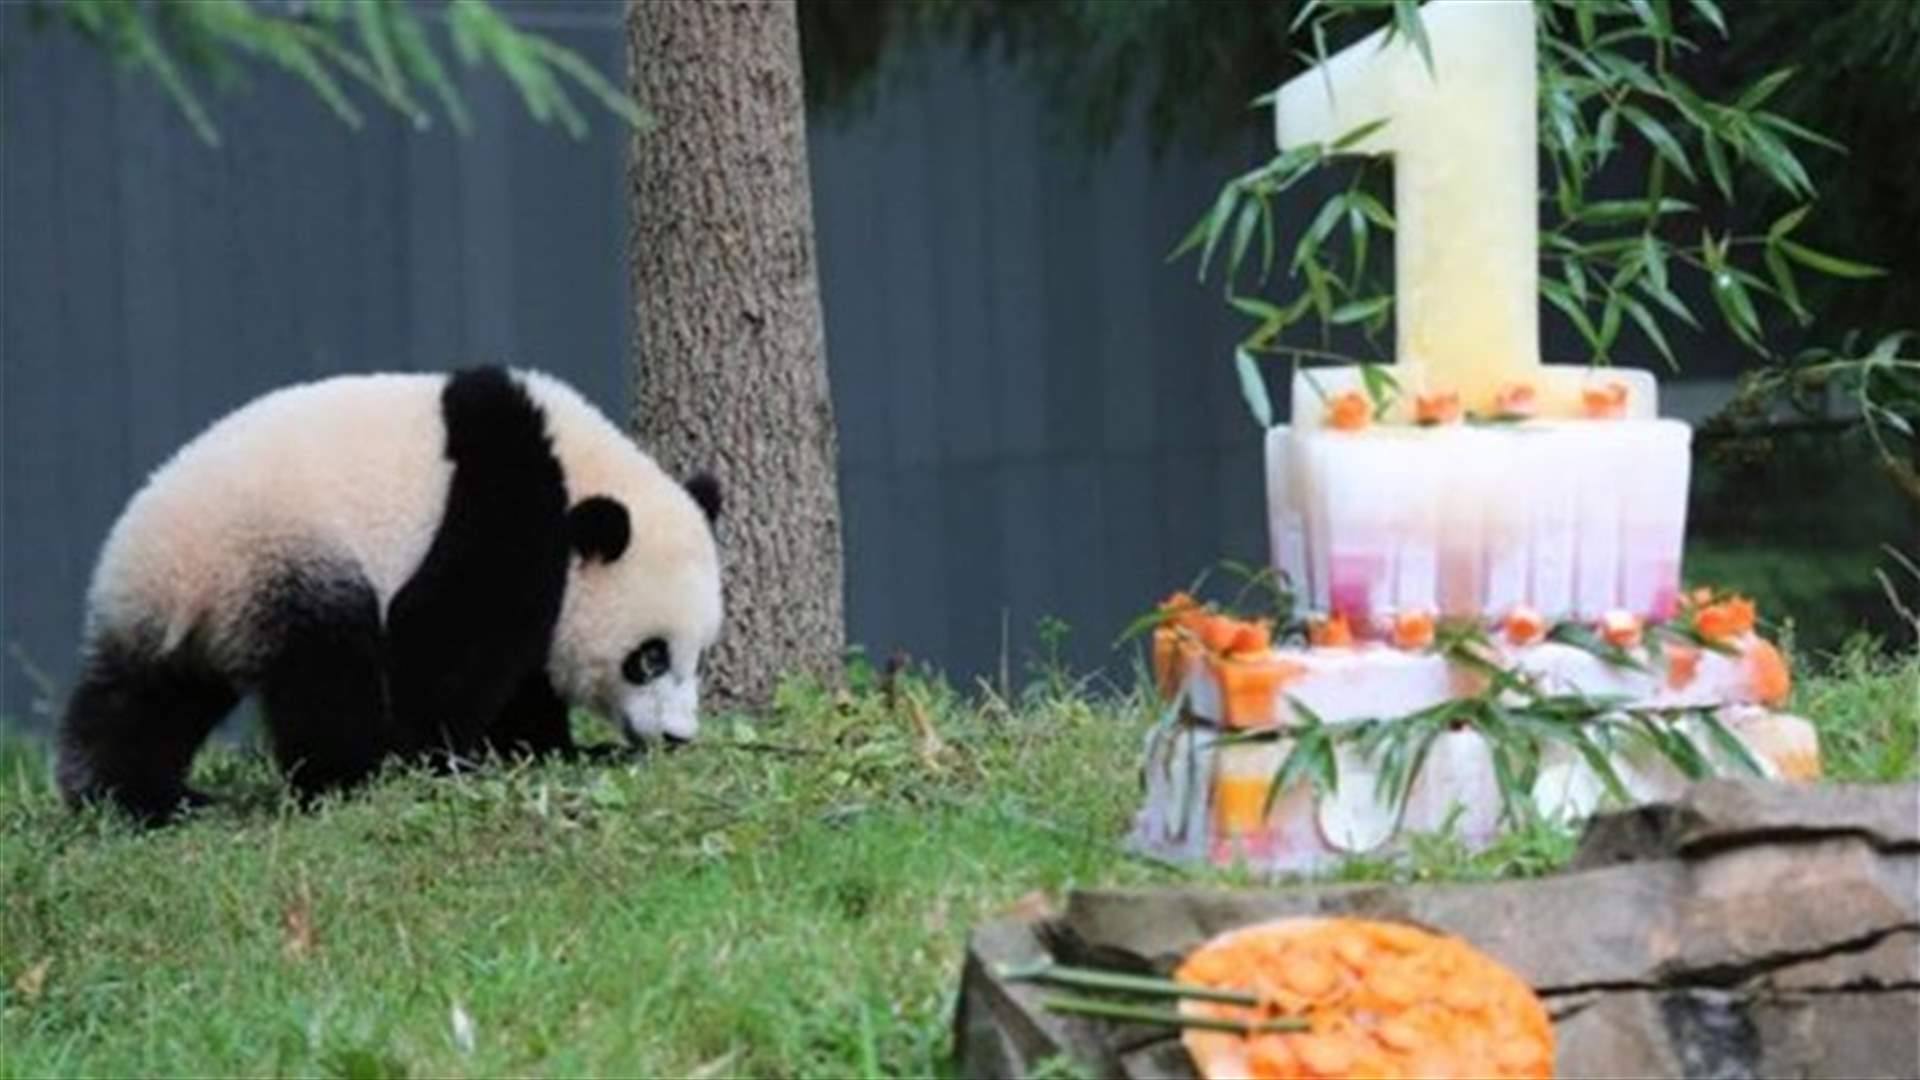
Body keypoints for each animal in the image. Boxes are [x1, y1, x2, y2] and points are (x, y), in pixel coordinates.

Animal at [55, 366, 723, 824]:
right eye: (649, 657)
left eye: (698, 657)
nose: (678, 738)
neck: (578, 468)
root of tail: (164, 575)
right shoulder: (506, 492)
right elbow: (443, 640)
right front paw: (444, 758)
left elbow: (522, 673)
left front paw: (548, 750)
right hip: (281, 554)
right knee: (326, 669)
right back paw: (347, 777)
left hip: (179, 614)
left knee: (145, 697)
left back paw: (132, 795)